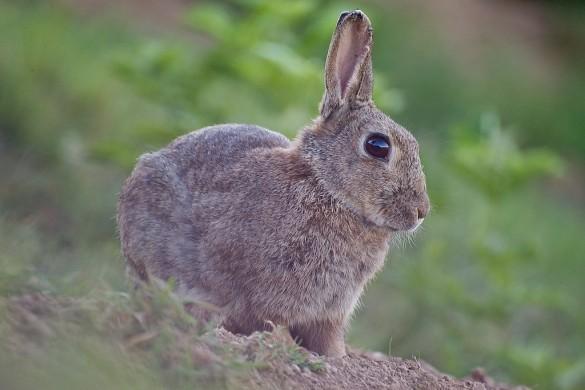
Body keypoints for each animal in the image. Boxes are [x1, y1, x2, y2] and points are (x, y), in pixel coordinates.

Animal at [118, 9, 428, 356]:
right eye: (378, 146)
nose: (421, 211)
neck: (325, 188)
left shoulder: (329, 313)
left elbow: (327, 341)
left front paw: (337, 358)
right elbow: (265, 321)